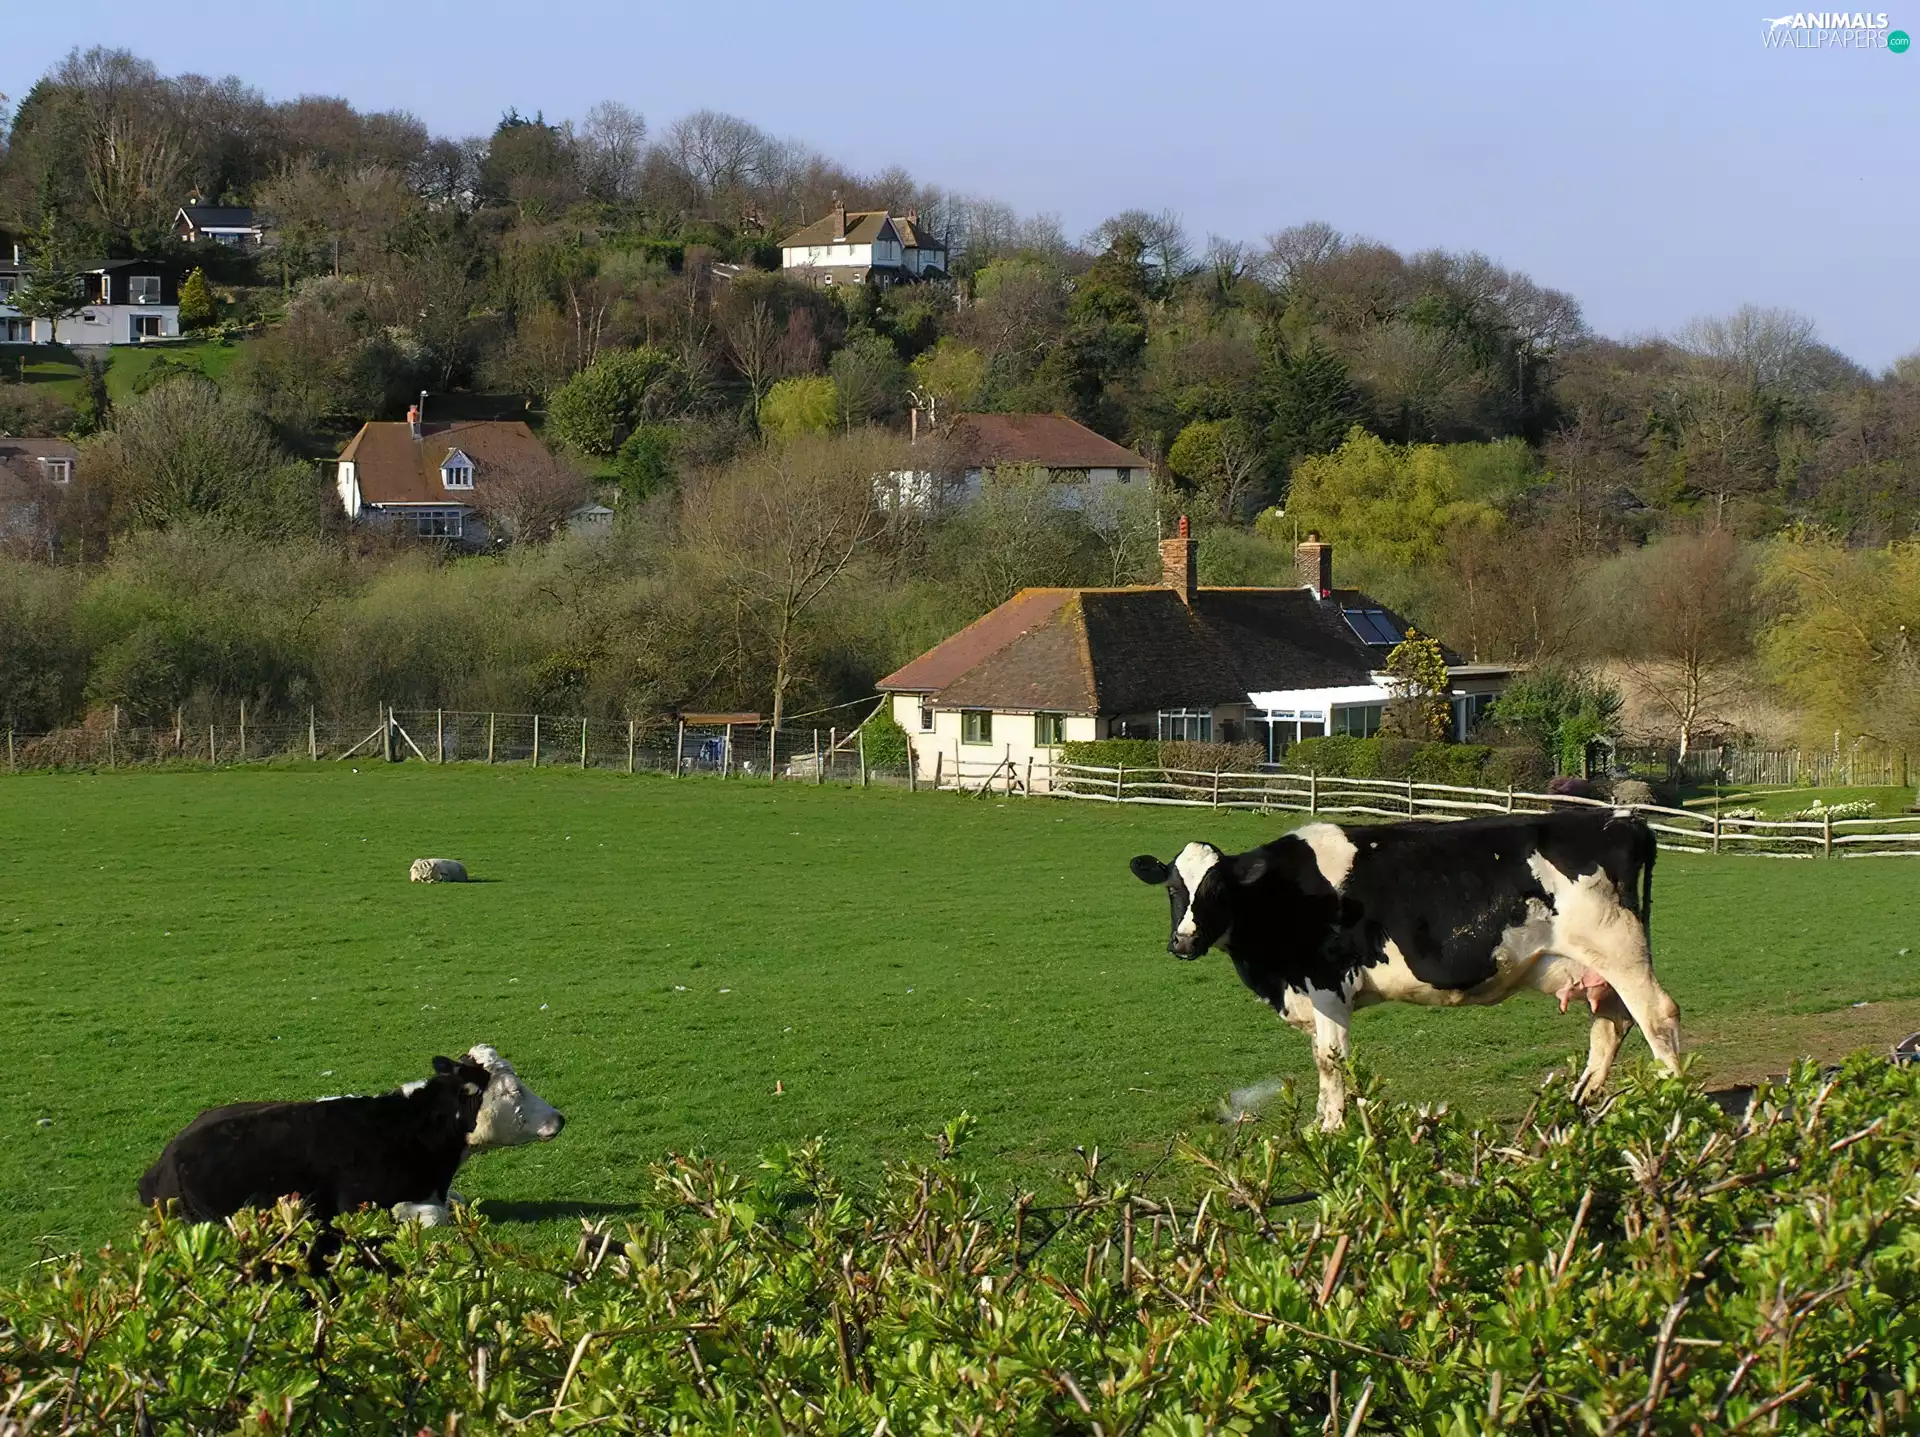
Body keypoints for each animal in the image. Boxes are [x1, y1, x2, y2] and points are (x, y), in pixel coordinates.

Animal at [1129, 809, 1682, 1129]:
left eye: (1217, 889)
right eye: (1174, 889)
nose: (1183, 942)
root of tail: (1621, 820)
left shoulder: (1328, 987)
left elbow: (1331, 1060)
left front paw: (1329, 1129)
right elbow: (1322, 1060)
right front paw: (1322, 1123)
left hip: (1621, 949)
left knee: (1657, 1017)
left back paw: (1672, 1100)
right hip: (1595, 968)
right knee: (1610, 1026)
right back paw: (1579, 1101)